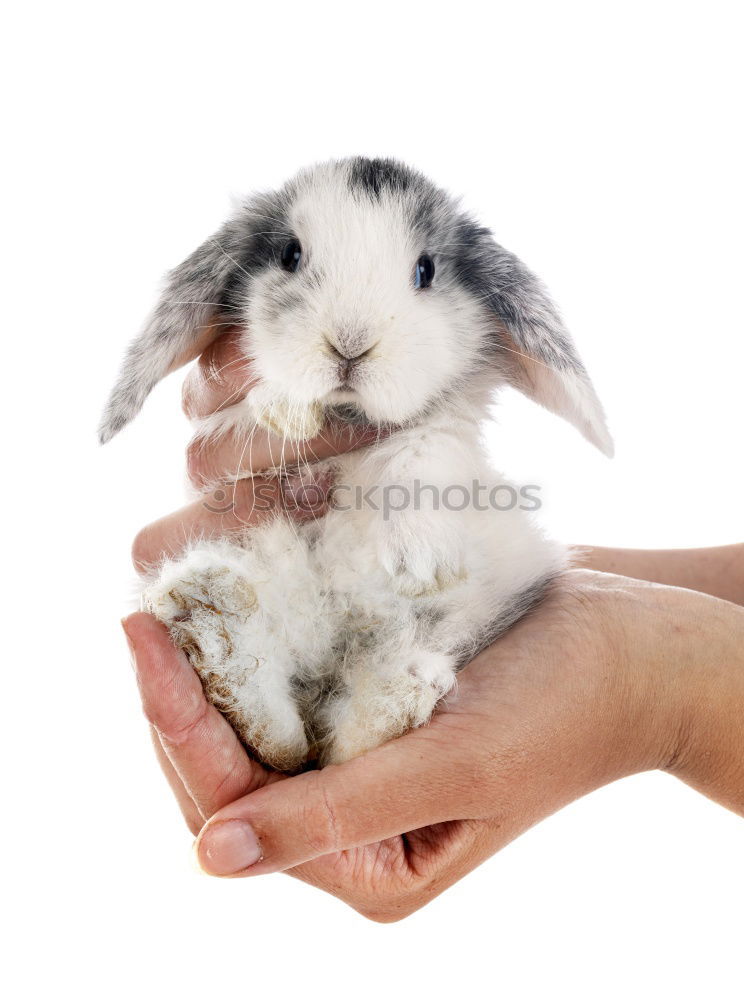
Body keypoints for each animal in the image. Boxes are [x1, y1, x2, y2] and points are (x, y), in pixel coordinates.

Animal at [99, 156, 612, 768]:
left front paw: (422, 563)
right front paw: (288, 413)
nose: (349, 344)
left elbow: (421, 448)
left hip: (470, 607)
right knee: (285, 734)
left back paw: (401, 687)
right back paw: (213, 621)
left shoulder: (445, 423)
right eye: (291, 254)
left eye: (425, 270)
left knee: (351, 734)